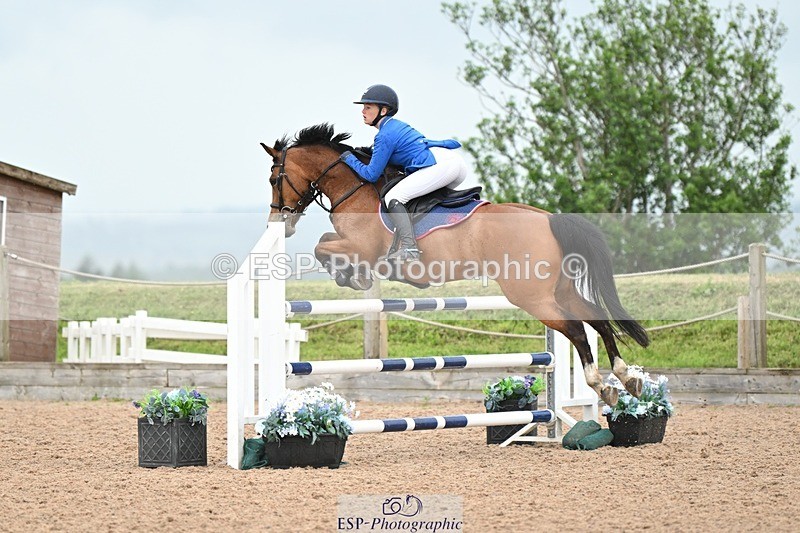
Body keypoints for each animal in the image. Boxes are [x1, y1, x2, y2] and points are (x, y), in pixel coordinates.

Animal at [261, 123, 650, 406]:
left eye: (273, 179)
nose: (279, 224)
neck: (354, 187)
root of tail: (548, 218)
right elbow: (325, 244)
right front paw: (351, 276)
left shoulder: (362, 247)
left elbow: (322, 247)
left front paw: (352, 277)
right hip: (561, 290)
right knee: (596, 318)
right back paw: (626, 378)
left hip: (534, 297)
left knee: (576, 329)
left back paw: (601, 385)